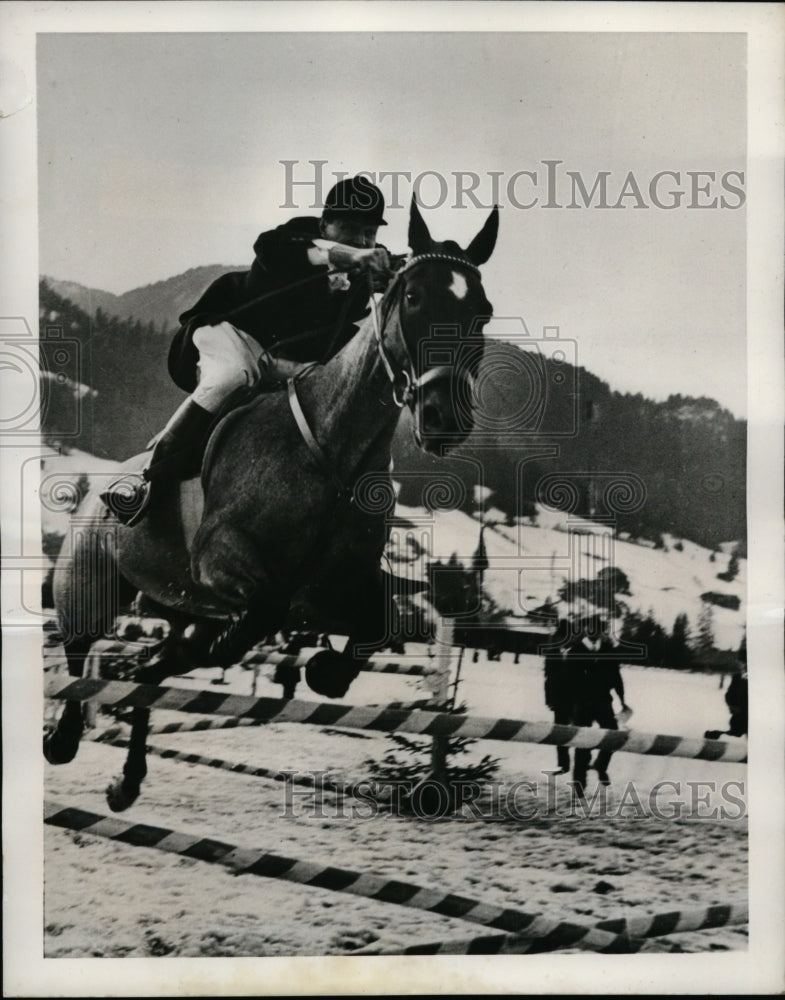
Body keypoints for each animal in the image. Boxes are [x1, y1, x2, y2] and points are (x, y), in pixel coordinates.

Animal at [44, 199, 496, 808]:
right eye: (414, 298)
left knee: (151, 673)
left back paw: (128, 776)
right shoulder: (222, 558)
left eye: (483, 312)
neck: (332, 453)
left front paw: (327, 670)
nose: (444, 419)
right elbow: (262, 613)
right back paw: (64, 737)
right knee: (79, 647)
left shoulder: (339, 584)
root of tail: (100, 485)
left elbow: (384, 621)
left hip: (177, 599)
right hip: (89, 578)